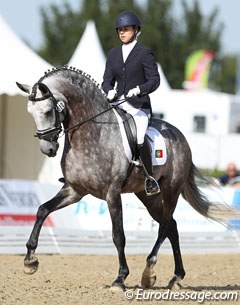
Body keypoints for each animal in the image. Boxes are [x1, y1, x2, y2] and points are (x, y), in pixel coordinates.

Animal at [16, 66, 238, 290]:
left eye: (48, 111)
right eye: (30, 112)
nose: (48, 149)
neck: (91, 134)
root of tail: (181, 137)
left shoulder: (112, 193)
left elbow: (118, 235)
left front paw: (120, 278)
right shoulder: (75, 191)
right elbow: (42, 210)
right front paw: (30, 260)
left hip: (171, 190)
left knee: (165, 226)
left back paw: (149, 271)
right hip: (149, 196)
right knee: (172, 226)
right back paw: (176, 277)